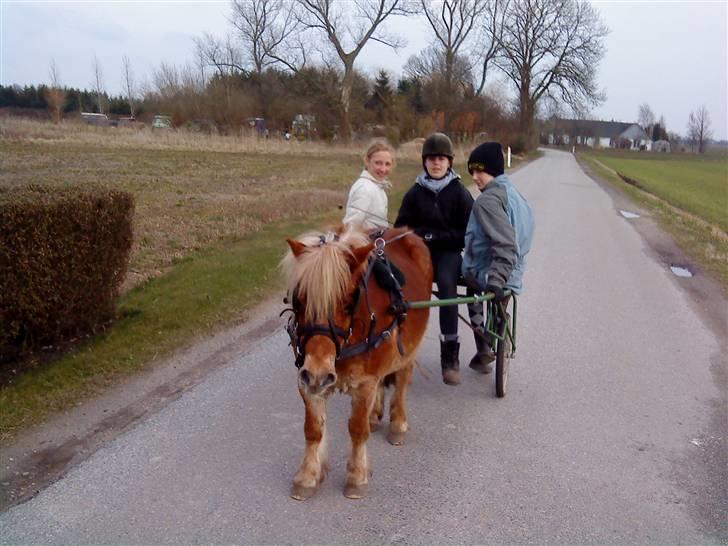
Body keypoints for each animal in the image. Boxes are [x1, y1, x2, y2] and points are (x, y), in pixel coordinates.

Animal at [282, 224, 432, 498]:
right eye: (298, 300)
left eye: (349, 302)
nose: (319, 373)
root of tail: (405, 231)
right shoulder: (307, 381)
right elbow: (313, 429)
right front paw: (308, 476)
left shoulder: (364, 383)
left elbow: (357, 429)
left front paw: (356, 476)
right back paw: (376, 414)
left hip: (408, 350)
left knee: (402, 380)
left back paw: (397, 423)